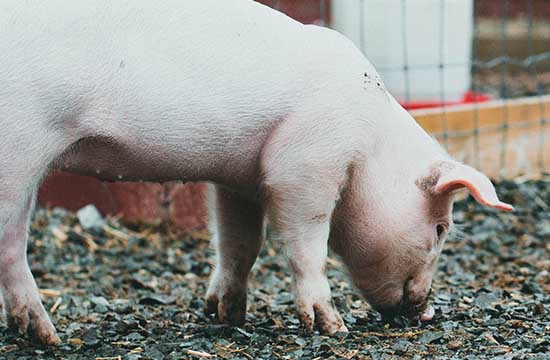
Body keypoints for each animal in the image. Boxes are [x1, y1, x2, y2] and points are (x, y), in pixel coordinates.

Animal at [0, 0, 512, 344]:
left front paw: (225, 315)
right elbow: (308, 244)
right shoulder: (303, 165)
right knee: (11, 245)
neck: (369, 146)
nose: (425, 311)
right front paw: (331, 328)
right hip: (19, 149)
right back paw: (48, 336)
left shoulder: (238, 178)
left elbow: (240, 243)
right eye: (441, 228)